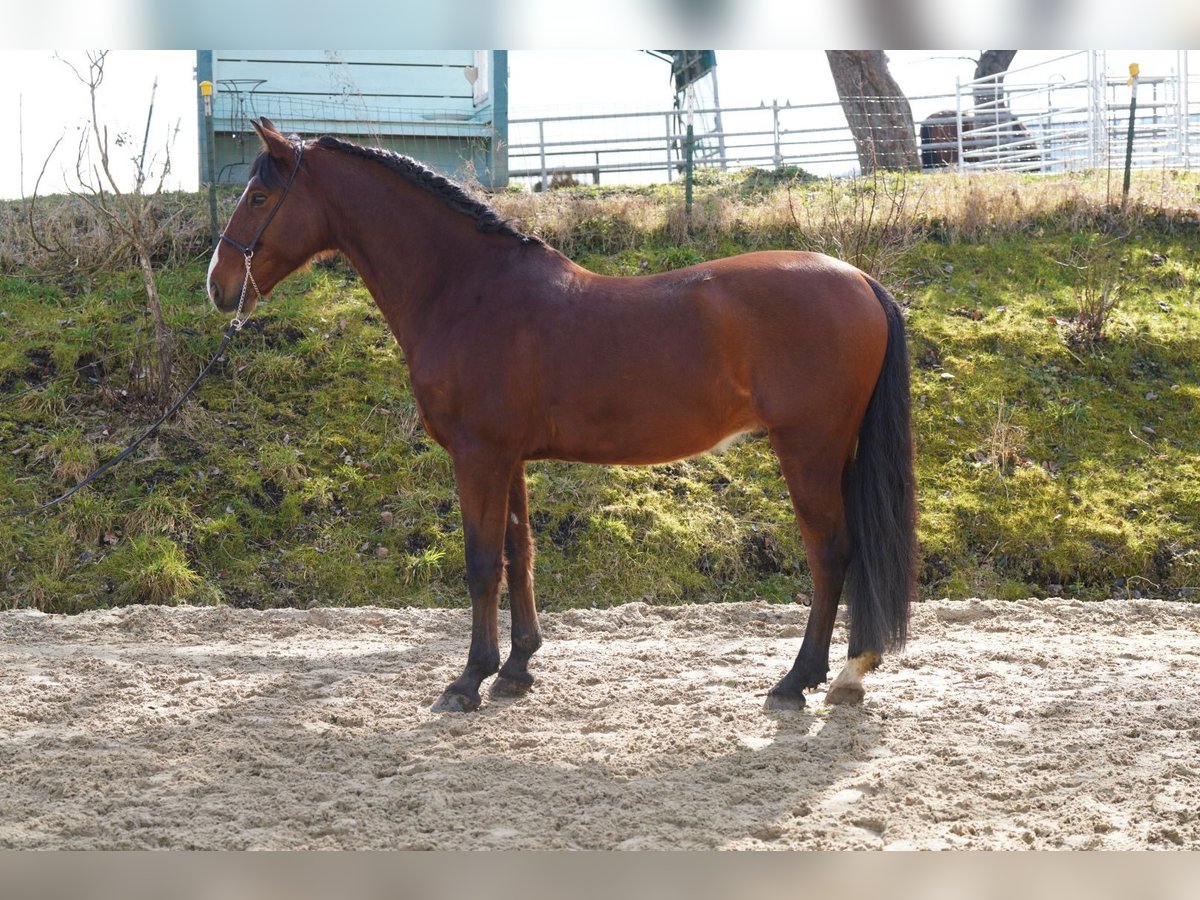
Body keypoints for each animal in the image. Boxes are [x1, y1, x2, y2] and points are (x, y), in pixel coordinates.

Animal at [208, 120, 916, 715]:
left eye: (259, 198)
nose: (218, 285)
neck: (466, 290)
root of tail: (862, 281)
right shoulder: (508, 458)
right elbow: (519, 553)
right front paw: (516, 670)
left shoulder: (478, 455)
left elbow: (480, 563)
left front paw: (468, 681)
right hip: (834, 453)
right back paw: (847, 673)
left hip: (808, 450)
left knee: (830, 554)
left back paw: (800, 681)